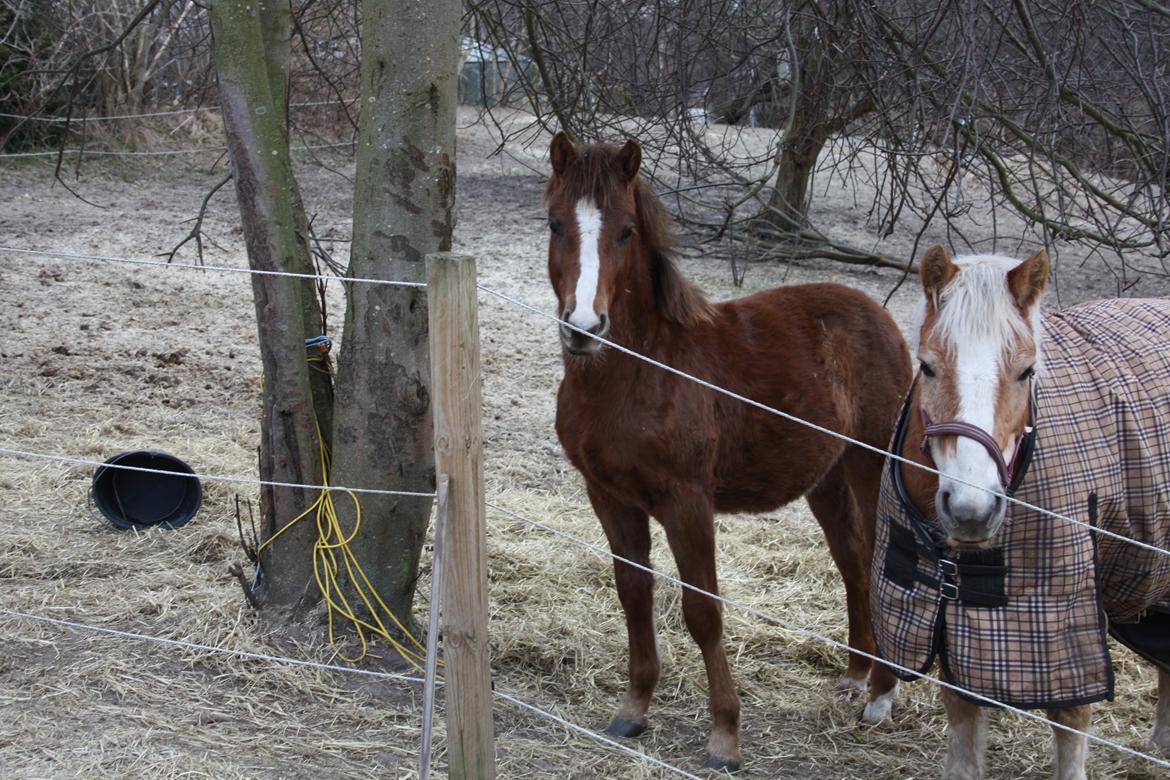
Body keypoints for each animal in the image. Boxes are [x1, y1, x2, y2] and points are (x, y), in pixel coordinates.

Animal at [545, 130, 912, 771]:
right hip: (829, 477)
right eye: (555, 224)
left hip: (871, 466)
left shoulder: (686, 501)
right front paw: (633, 709)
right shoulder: (610, 497)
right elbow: (633, 593)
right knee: (852, 557)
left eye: (626, 230)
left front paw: (724, 737)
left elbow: (703, 610)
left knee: (874, 561)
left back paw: (880, 697)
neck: (643, 370)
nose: (584, 327)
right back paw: (854, 674)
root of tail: (880, 315)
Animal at [879, 245, 1170, 780]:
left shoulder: (1064, 625)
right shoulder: (957, 619)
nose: (971, 510)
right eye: (927, 367)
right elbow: (963, 728)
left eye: (1027, 372)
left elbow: (1071, 722)